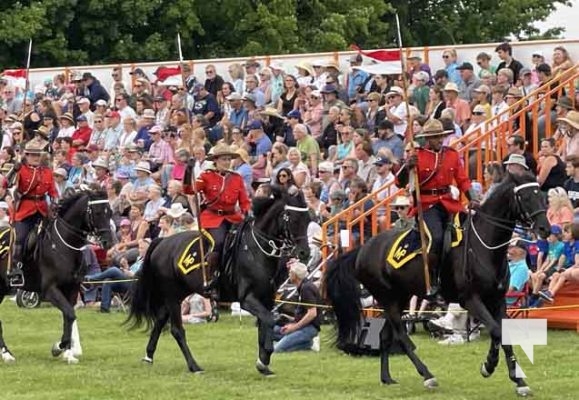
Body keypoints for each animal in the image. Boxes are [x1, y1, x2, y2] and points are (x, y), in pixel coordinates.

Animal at [0, 189, 113, 364]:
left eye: (110, 212)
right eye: (98, 212)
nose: (108, 242)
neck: (64, 246)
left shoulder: (72, 288)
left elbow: (69, 317)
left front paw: (68, 352)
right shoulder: (50, 290)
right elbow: (70, 314)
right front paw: (59, 347)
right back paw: (6, 354)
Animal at [128, 187, 312, 376]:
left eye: (308, 220)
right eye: (294, 219)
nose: (304, 252)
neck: (257, 251)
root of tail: (162, 241)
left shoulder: (266, 299)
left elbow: (263, 326)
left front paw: (263, 363)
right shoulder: (247, 300)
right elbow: (268, 320)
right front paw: (266, 356)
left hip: (177, 294)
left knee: (160, 320)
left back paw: (148, 356)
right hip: (172, 296)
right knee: (177, 330)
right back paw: (194, 366)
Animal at [324, 173, 552, 396]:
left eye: (542, 195)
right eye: (525, 197)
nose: (545, 229)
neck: (484, 248)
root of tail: (362, 249)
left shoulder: (497, 301)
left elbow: (503, 333)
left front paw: (517, 380)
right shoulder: (471, 300)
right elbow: (497, 331)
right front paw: (489, 366)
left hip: (399, 298)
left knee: (385, 336)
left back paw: (387, 378)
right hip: (388, 300)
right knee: (401, 336)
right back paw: (427, 375)